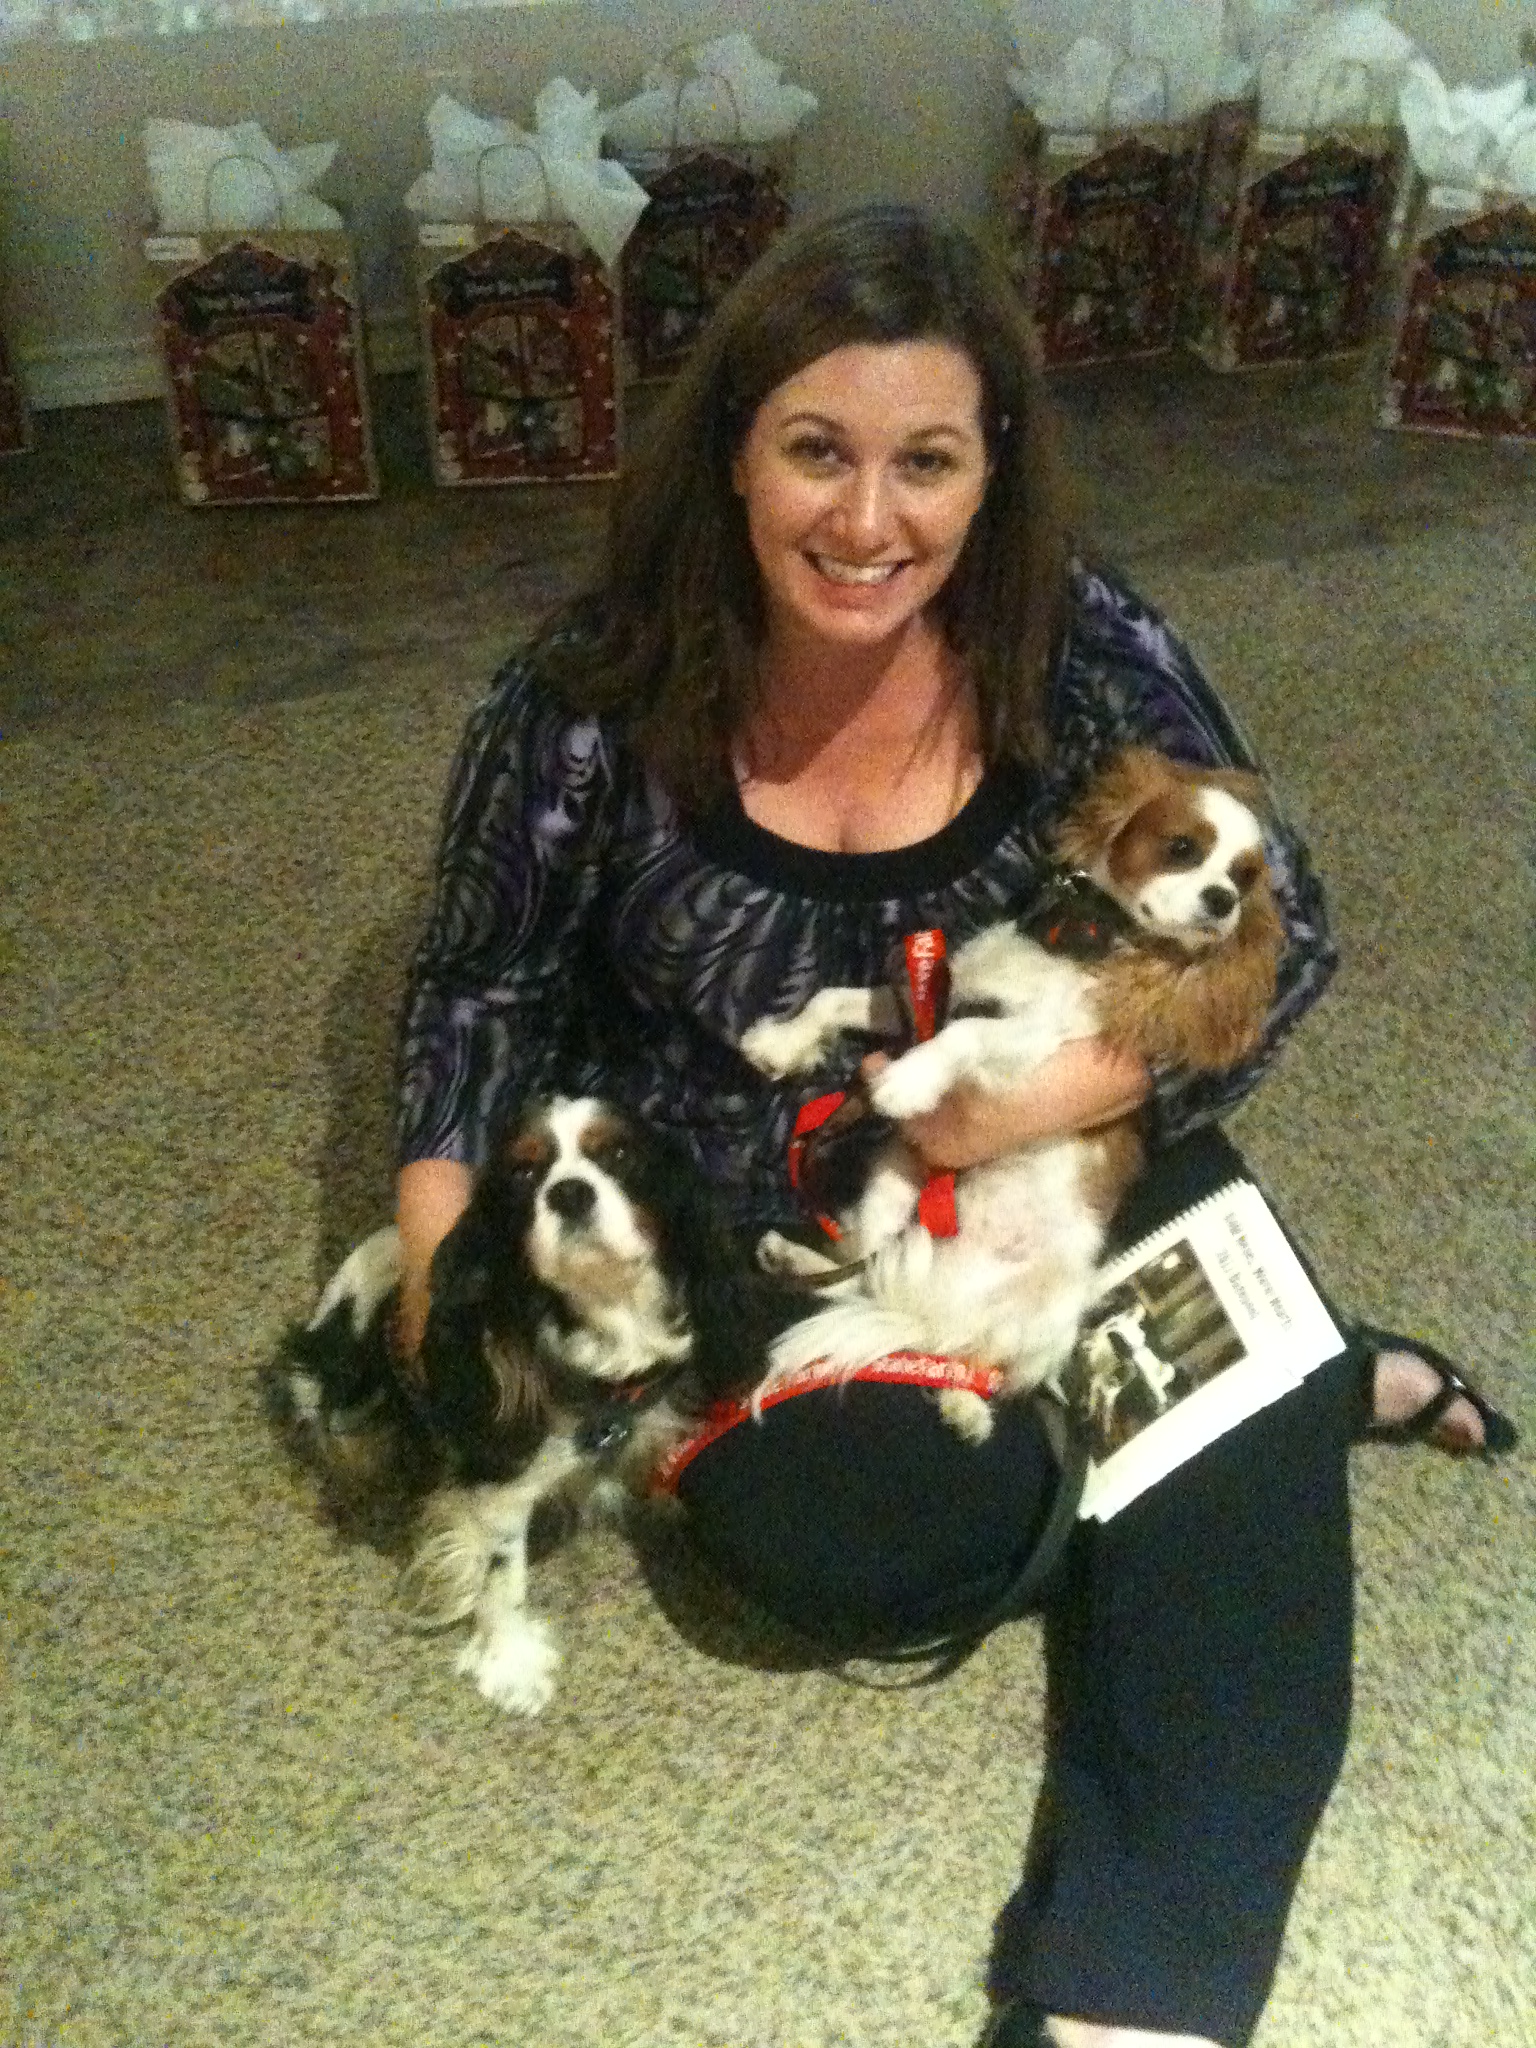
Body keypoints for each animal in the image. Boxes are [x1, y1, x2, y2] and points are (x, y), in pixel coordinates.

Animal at [278, 1096, 801, 1716]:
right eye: (524, 1173)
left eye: (619, 1154)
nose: (569, 1192)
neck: (607, 1320)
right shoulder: (502, 1471)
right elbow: (502, 1567)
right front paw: (510, 1661)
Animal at [739, 747, 1285, 1438]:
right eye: (1183, 847)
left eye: (1244, 879)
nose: (1222, 901)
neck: (1076, 940)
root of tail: (944, 1301)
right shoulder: (927, 1002)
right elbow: (834, 998)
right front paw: (779, 1044)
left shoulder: (1040, 1045)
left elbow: (965, 1033)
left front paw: (908, 1082)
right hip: (892, 1183)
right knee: (860, 1271)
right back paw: (795, 1260)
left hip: (1052, 1313)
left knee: (978, 1355)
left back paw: (964, 1402)